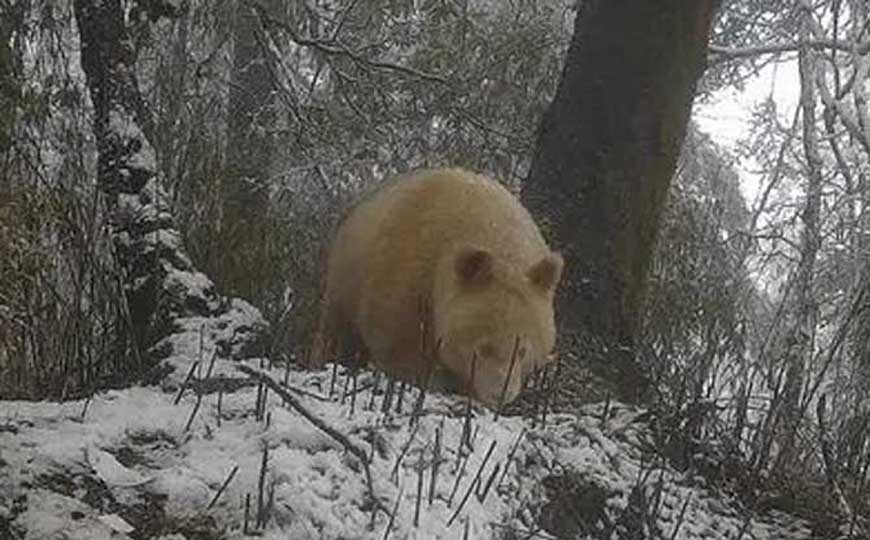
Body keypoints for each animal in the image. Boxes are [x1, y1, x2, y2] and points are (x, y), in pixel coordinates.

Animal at [308, 167, 563, 407]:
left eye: (522, 351)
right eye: (484, 347)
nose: (500, 394)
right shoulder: (406, 280)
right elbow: (401, 349)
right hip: (346, 280)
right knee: (338, 333)